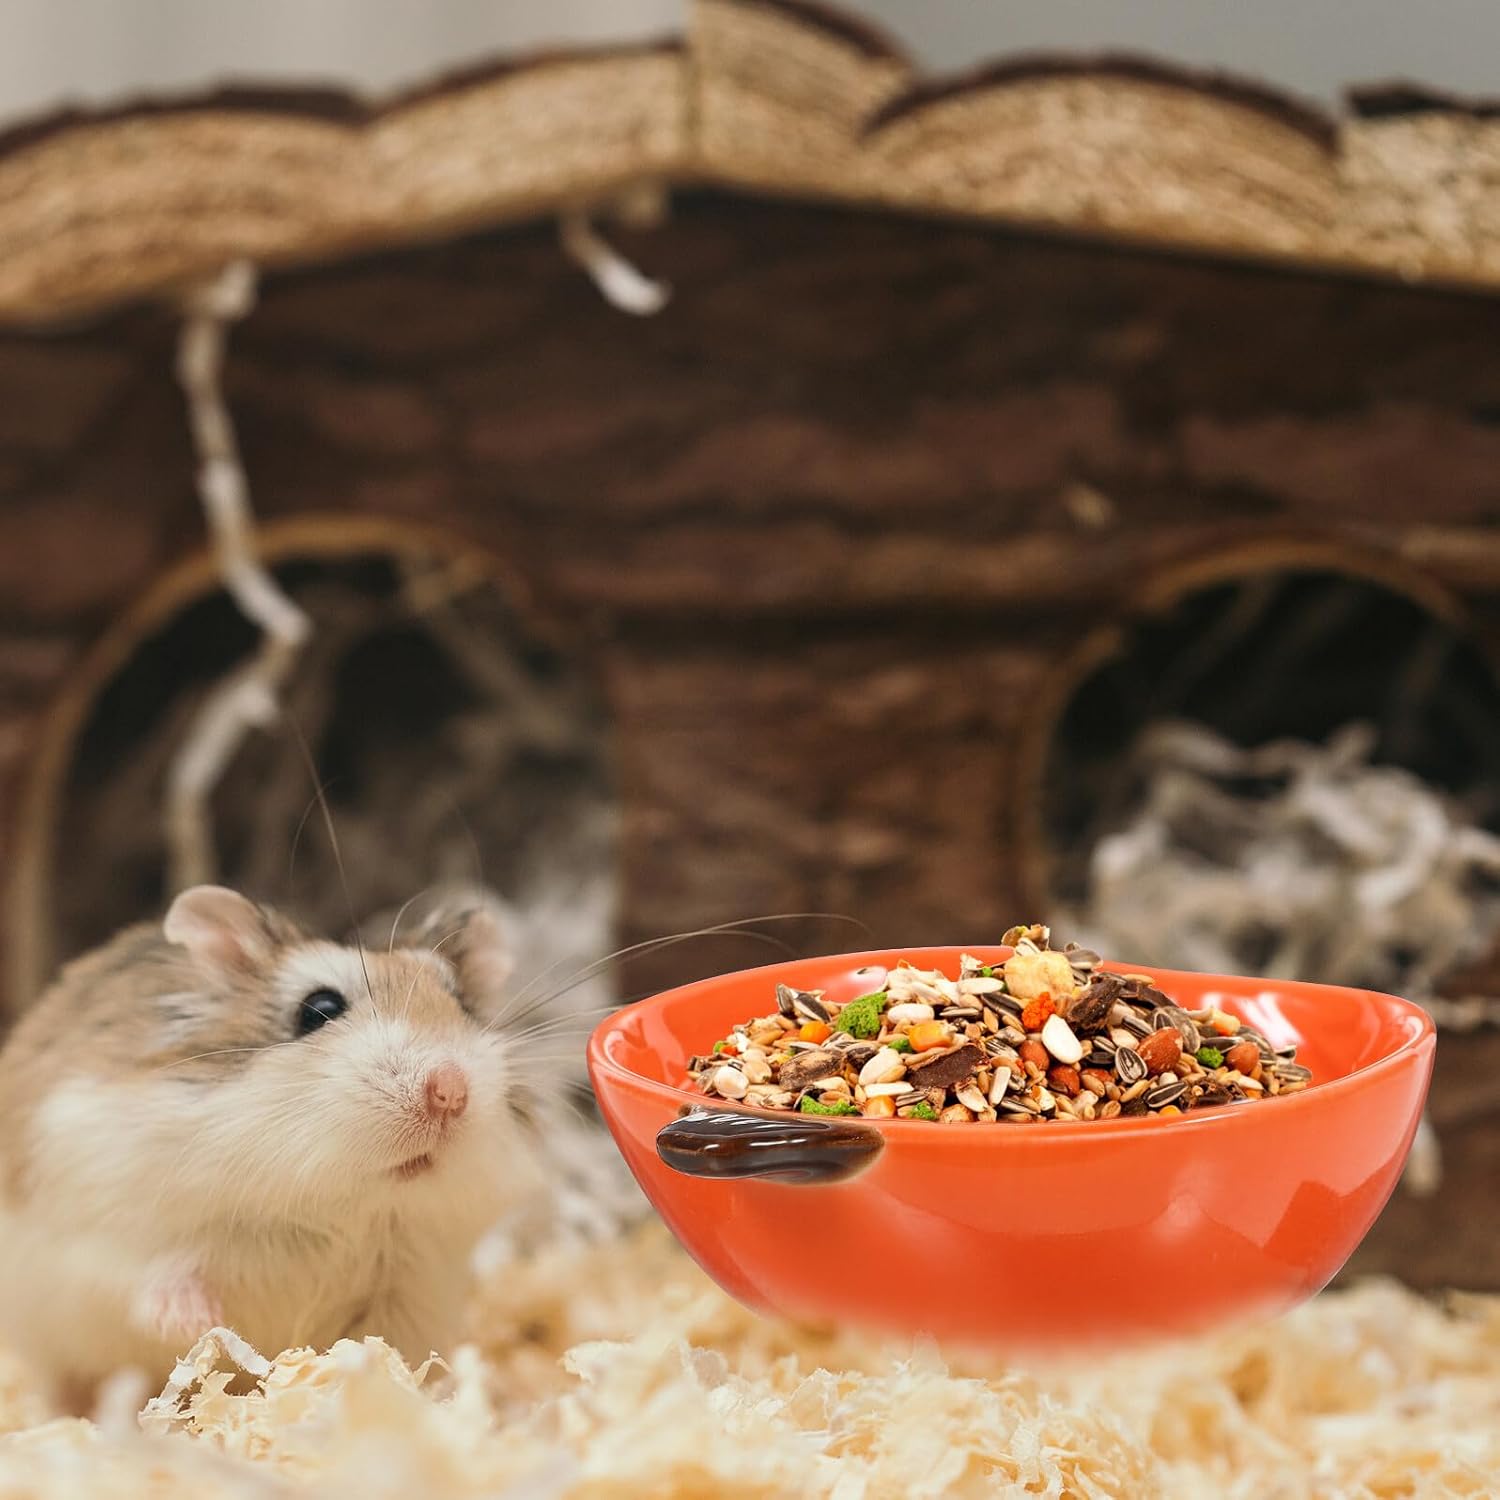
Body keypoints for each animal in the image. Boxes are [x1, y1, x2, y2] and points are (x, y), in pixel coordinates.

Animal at [0, 883, 582, 1408]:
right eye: (318, 1008)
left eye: (461, 1004)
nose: (450, 1090)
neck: (340, 1205)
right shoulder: (103, 1226)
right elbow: (151, 1276)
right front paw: (200, 1323)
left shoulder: (408, 1290)